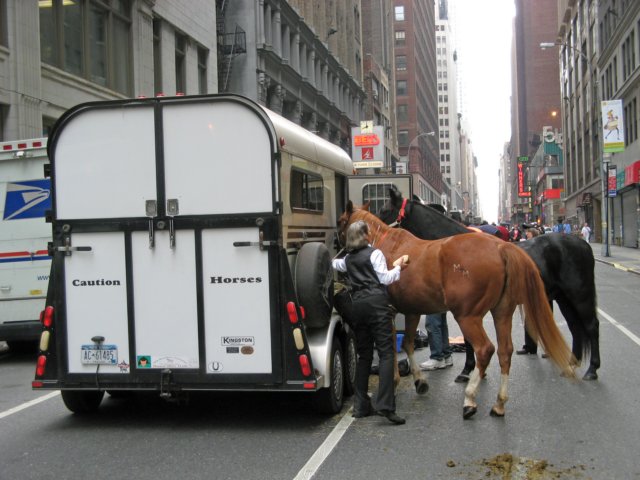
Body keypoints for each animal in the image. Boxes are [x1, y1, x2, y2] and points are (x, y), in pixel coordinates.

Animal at [338, 201, 576, 418]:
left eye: (341, 221)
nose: (338, 247)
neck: (385, 244)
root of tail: (501, 247)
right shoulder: (412, 311)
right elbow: (407, 344)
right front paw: (419, 381)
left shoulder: (389, 311)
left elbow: (391, 348)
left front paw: (395, 381)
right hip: (502, 313)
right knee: (504, 351)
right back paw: (499, 403)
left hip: (467, 316)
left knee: (484, 350)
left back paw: (470, 399)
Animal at [378, 186, 596, 380]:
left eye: (384, 210)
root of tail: (583, 243)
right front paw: (472, 370)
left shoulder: (467, 308)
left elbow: (469, 341)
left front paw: (467, 370)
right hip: (564, 298)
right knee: (575, 327)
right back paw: (571, 365)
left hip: (580, 295)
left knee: (591, 325)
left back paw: (592, 370)